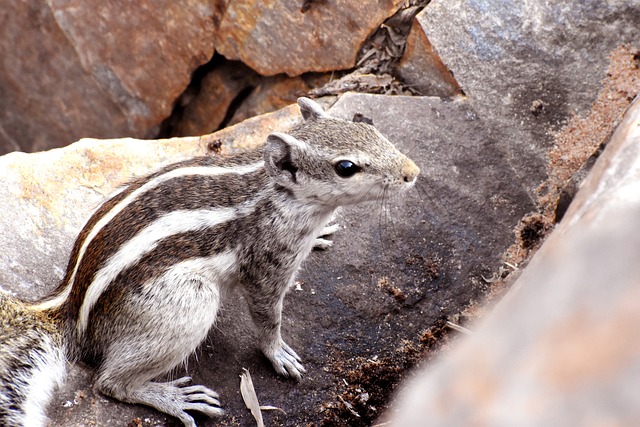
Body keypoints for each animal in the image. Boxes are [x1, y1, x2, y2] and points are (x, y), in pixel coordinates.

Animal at [0, 98, 420, 427]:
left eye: (367, 124)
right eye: (346, 167)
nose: (413, 173)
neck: (278, 192)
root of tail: (69, 304)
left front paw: (322, 233)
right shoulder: (267, 265)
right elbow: (267, 316)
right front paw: (278, 353)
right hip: (188, 307)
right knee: (108, 383)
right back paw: (171, 398)